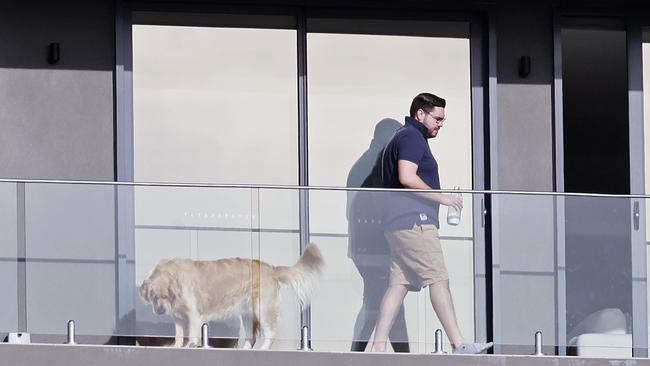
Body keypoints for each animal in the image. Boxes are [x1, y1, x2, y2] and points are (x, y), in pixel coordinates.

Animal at [139, 243, 322, 348]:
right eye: (154, 296)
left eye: (167, 295)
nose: (160, 311)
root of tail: (271, 268)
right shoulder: (178, 317)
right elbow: (178, 335)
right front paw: (177, 346)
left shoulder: (194, 314)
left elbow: (192, 334)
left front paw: (191, 344)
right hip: (247, 314)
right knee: (251, 338)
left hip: (263, 308)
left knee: (270, 334)